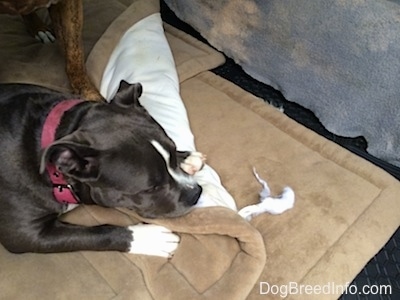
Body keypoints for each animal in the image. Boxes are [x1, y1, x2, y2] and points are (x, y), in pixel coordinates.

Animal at [0, 81, 205, 255]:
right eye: (151, 188)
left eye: (173, 150)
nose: (196, 193)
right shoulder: (25, 234)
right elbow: (93, 234)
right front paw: (147, 238)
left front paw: (186, 158)